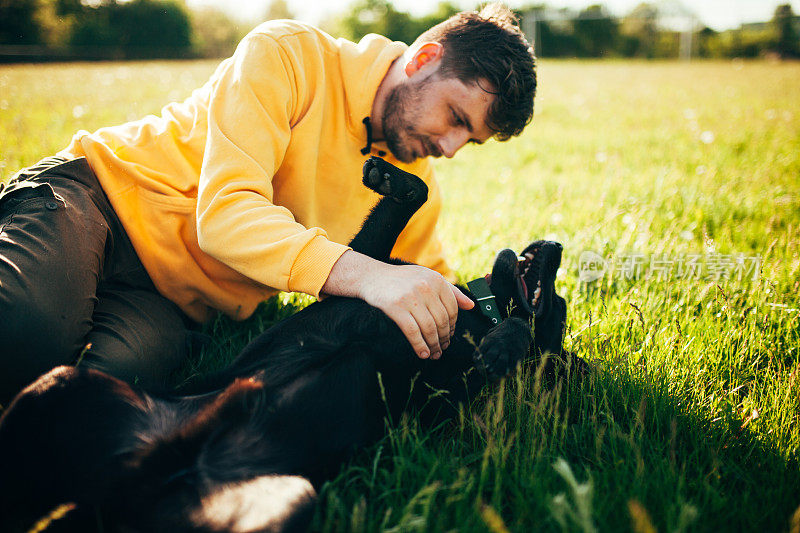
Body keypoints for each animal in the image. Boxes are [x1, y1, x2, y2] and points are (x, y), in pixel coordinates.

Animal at [0, 158, 576, 532]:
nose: (555, 244)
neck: (477, 312)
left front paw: (505, 345)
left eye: (562, 306)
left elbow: (515, 343)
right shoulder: (363, 267)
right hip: (59, 384)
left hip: (287, 501)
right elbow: (411, 197)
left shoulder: (448, 394)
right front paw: (389, 176)